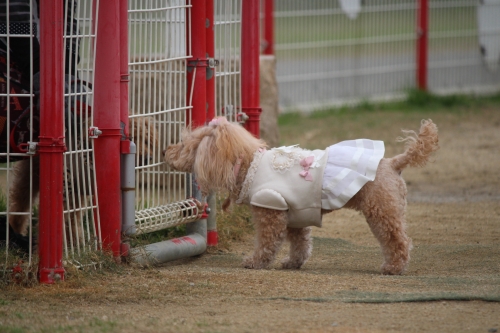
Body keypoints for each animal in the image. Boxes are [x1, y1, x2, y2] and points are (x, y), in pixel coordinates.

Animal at [164, 116, 438, 272]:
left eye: (184, 145)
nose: (166, 151)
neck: (249, 165)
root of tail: (394, 162)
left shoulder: (270, 209)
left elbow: (267, 242)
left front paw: (255, 262)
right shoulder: (295, 213)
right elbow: (300, 244)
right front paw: (292, 263)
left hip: (382, 210)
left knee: (397, 240)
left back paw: (393, 266)